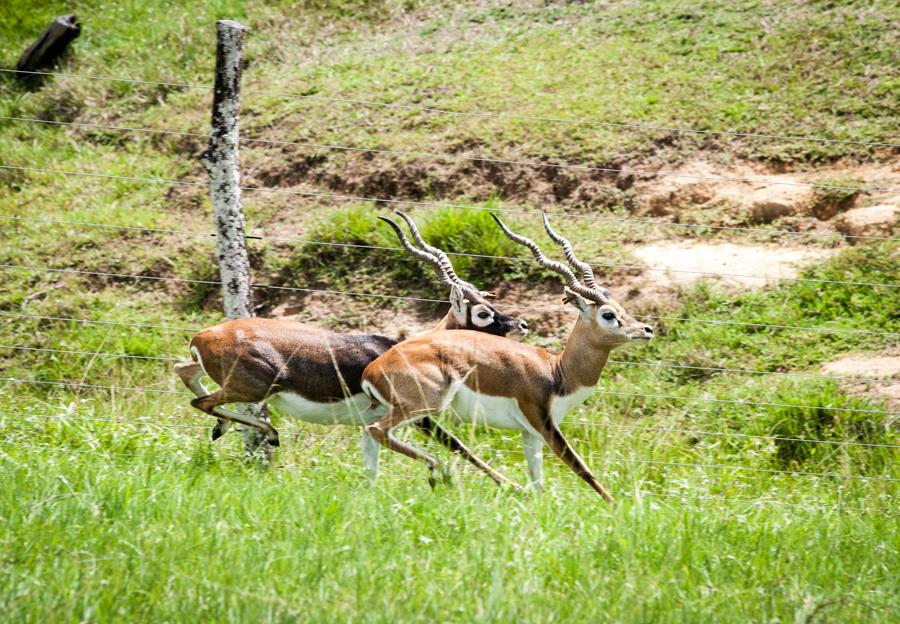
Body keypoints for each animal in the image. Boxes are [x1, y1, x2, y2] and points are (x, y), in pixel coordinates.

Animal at [174, 212, 528, 480]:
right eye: (482, 312)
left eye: (490, 304)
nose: (521, 325)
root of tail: (203, 336)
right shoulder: (419, 416)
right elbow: (459, 447)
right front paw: (510, 486)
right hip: (254, 389)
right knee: (201, 401)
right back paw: (267, 433)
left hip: (222, 377)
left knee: (185, 371)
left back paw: (229, 427)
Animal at [360, 212, 652, 500]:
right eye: (608, 315)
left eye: (621, 309)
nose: (647, 330)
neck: (556, 370)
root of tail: (371, 370)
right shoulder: (543, 422)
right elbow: (581, 467)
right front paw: (615, 505)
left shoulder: (529, 433)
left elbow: (538, 480)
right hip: (425, 406)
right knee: (378, 431)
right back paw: (437, 471)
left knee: (369, 435)